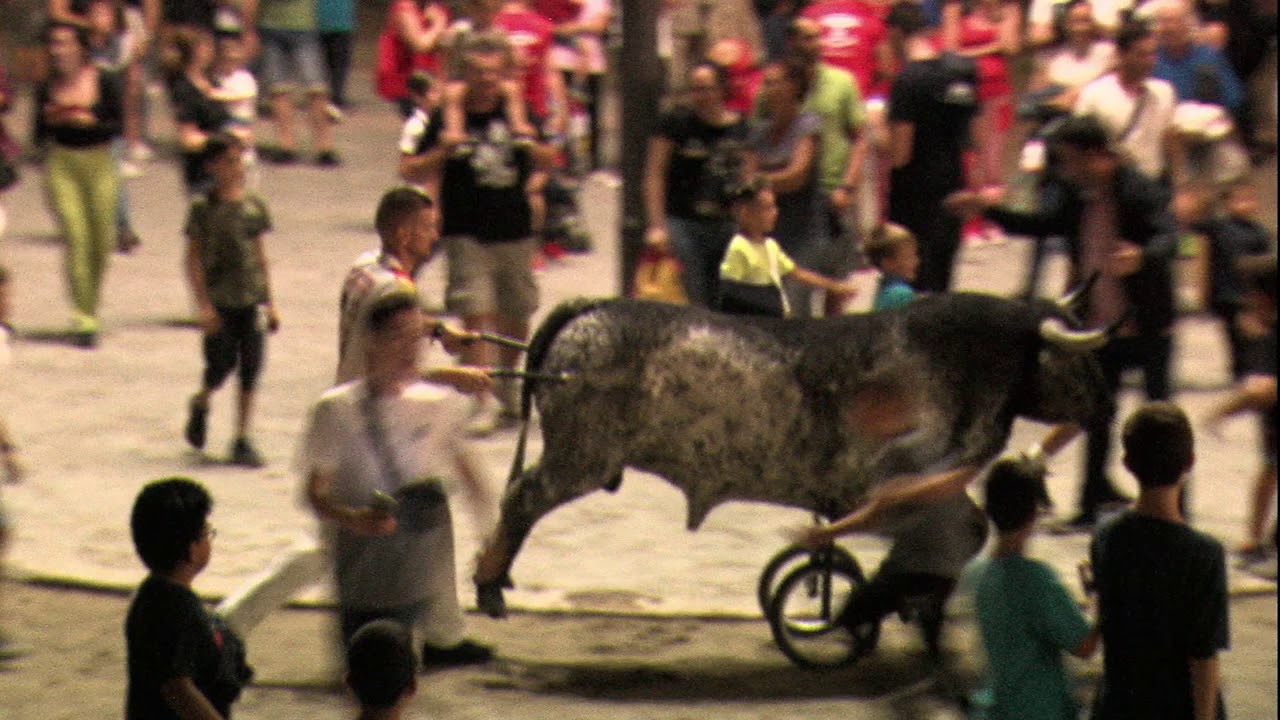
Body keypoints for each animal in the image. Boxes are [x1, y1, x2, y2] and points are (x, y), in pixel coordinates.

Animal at [476, 288, 1116, 614]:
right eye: (1077, 360)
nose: (1107, 403)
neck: (961, 360)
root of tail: (589, 309)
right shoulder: (899, 483)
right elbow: (968, 527)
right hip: (579, 458)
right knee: (520, 499)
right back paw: (487, 584)